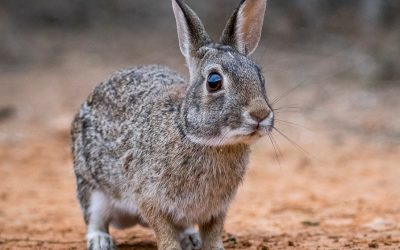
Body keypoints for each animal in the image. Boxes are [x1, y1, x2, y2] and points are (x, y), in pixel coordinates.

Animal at [71, 0, 272, 249]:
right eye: (214, 81)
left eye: (260, 76)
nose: (261, 114)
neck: (191, 133)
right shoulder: (150, 198)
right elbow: (164, 231)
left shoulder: (218, 209)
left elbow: (213, 232)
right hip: (92, 189)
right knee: (95, 219)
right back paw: (100, 241)